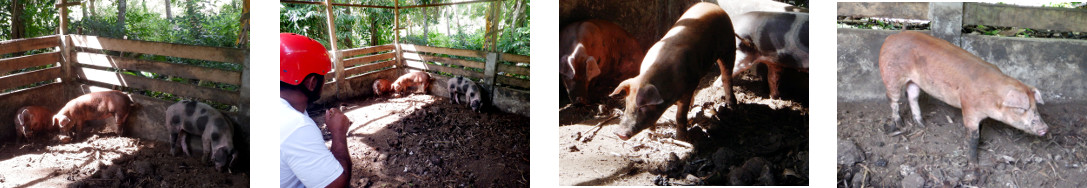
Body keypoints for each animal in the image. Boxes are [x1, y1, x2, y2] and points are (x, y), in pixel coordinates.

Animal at [608, 2, 734, 141]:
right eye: (627, 103)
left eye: (643, 107)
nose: (620, 133)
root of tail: (712, 5)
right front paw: (651, 132)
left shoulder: (687, 90)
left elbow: (680, 116)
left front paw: (681, 139)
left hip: (729, 46)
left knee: (727, 76)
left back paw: (731, 105)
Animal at [878, 30, 1047, 161]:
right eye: (1022, 108)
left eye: (1035, 106)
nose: (1045, 128)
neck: (992, 98)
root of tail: (890, 37)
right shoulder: (969, 107)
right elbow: (973, 136)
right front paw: (973, 161)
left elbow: (981, 128)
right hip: (891, 75)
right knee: (892, 99)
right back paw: (899, 125)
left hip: (913, 81)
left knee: (912, 96)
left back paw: (922, 125)